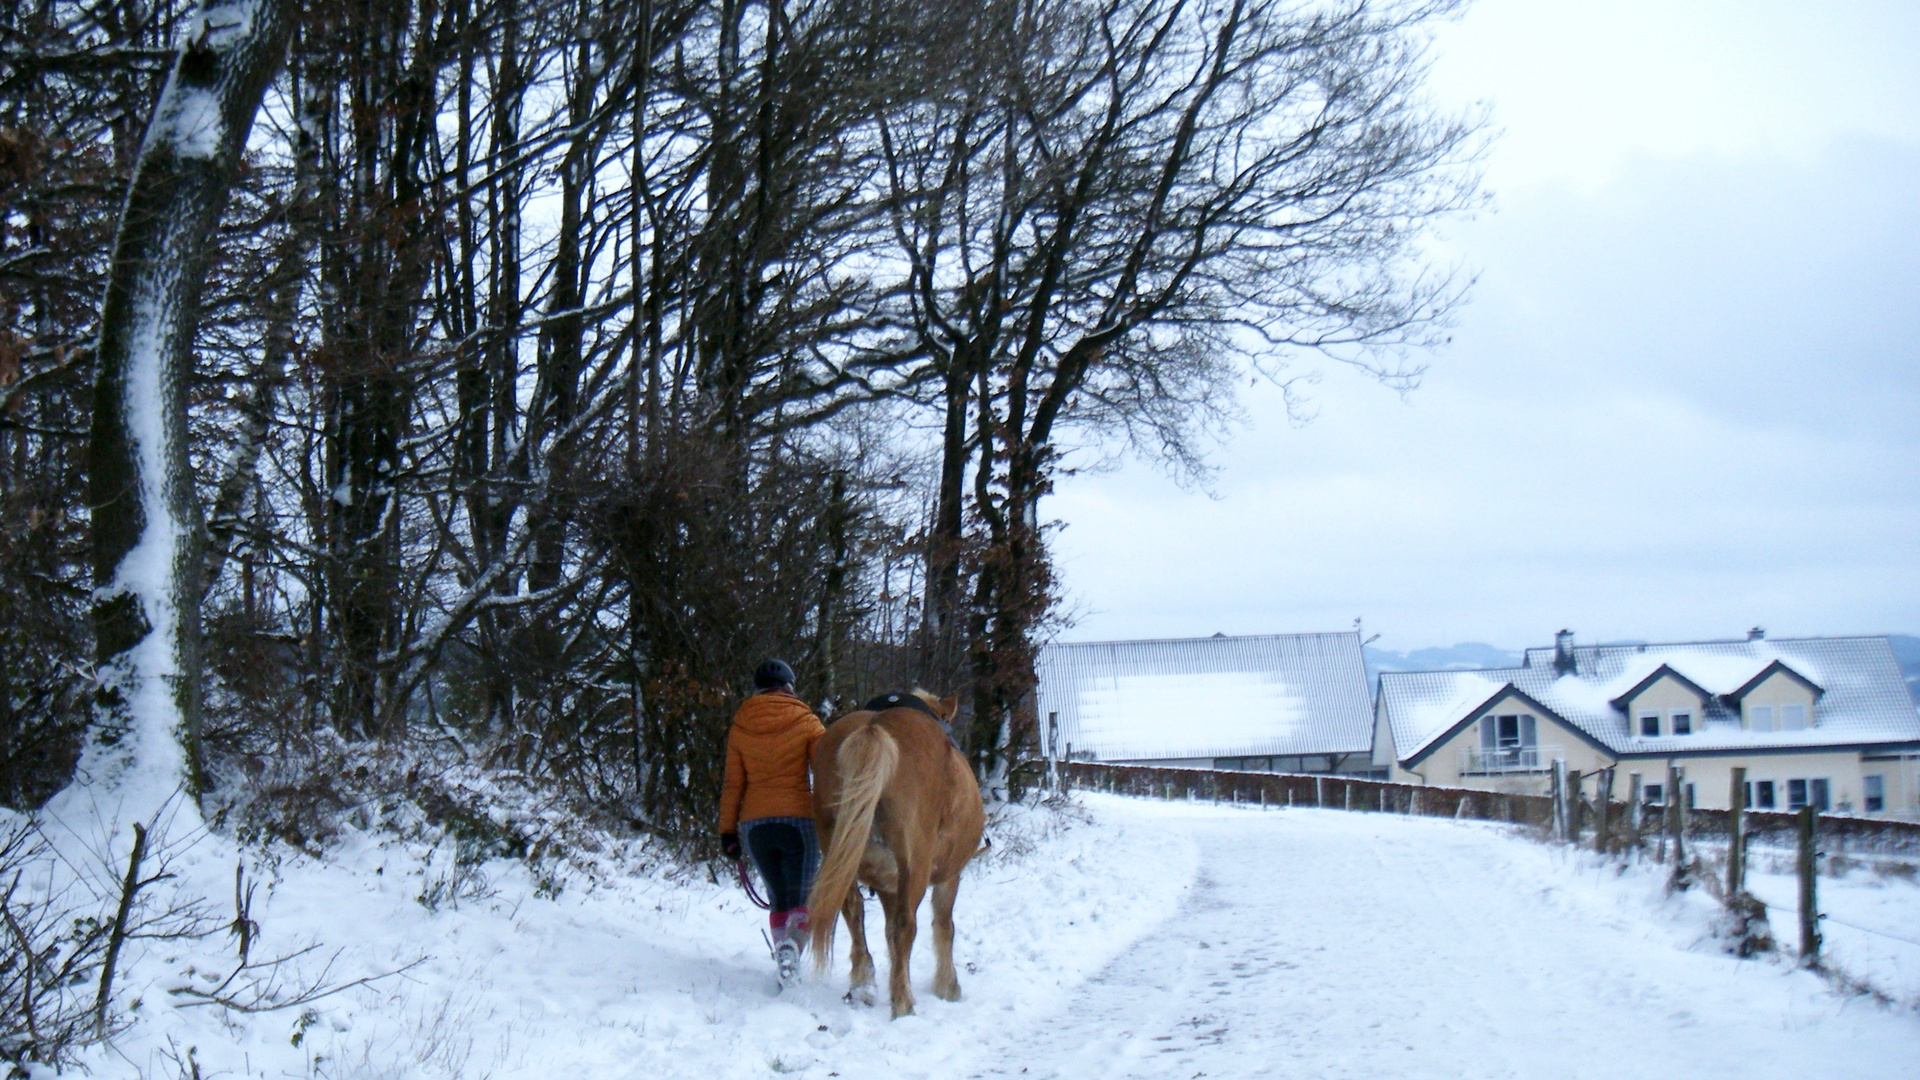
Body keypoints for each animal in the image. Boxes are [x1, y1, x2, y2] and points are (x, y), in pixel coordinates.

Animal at [810, 684, 990, 1014]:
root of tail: (874, 728)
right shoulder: (948, 876)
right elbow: (943, 925)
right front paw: (948, 985)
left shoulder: (886, 885)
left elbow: (888, 932)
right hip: (914, 867)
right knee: (907, 924)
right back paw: (903, 1002)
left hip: (841, 858)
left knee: (852, 910)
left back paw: (863, 986)